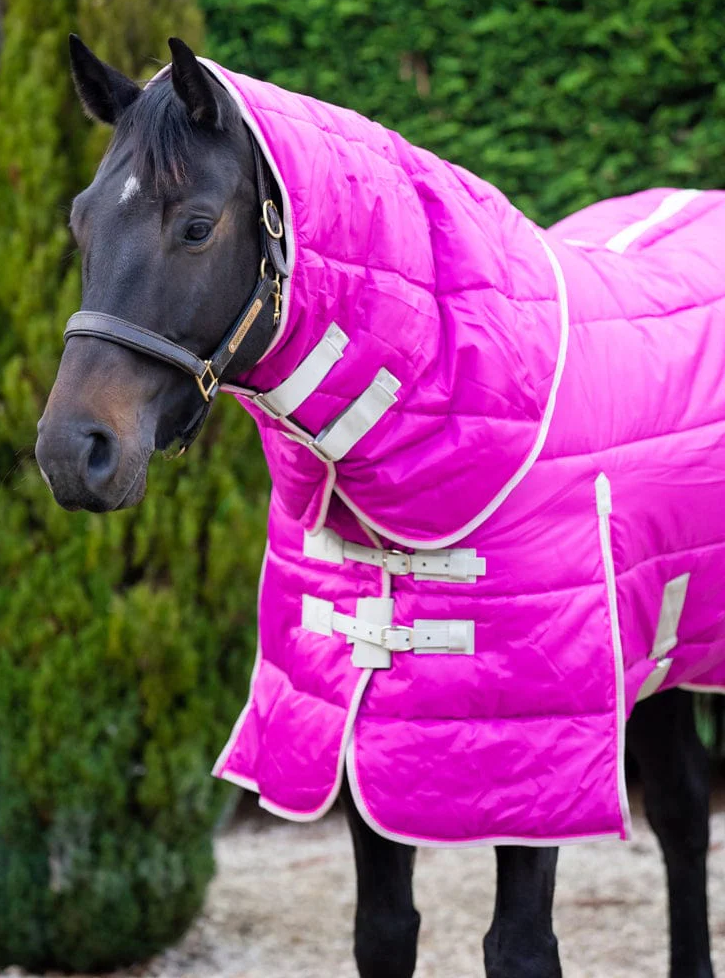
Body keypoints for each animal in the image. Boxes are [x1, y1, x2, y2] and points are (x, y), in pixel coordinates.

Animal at [35, 36, 717, 978]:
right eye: (80, 221)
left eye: (197, 225)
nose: (75, 452)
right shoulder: (355, 729)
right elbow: (384, 930)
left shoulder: (531, 760)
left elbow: (519, 947)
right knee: (684, 812)